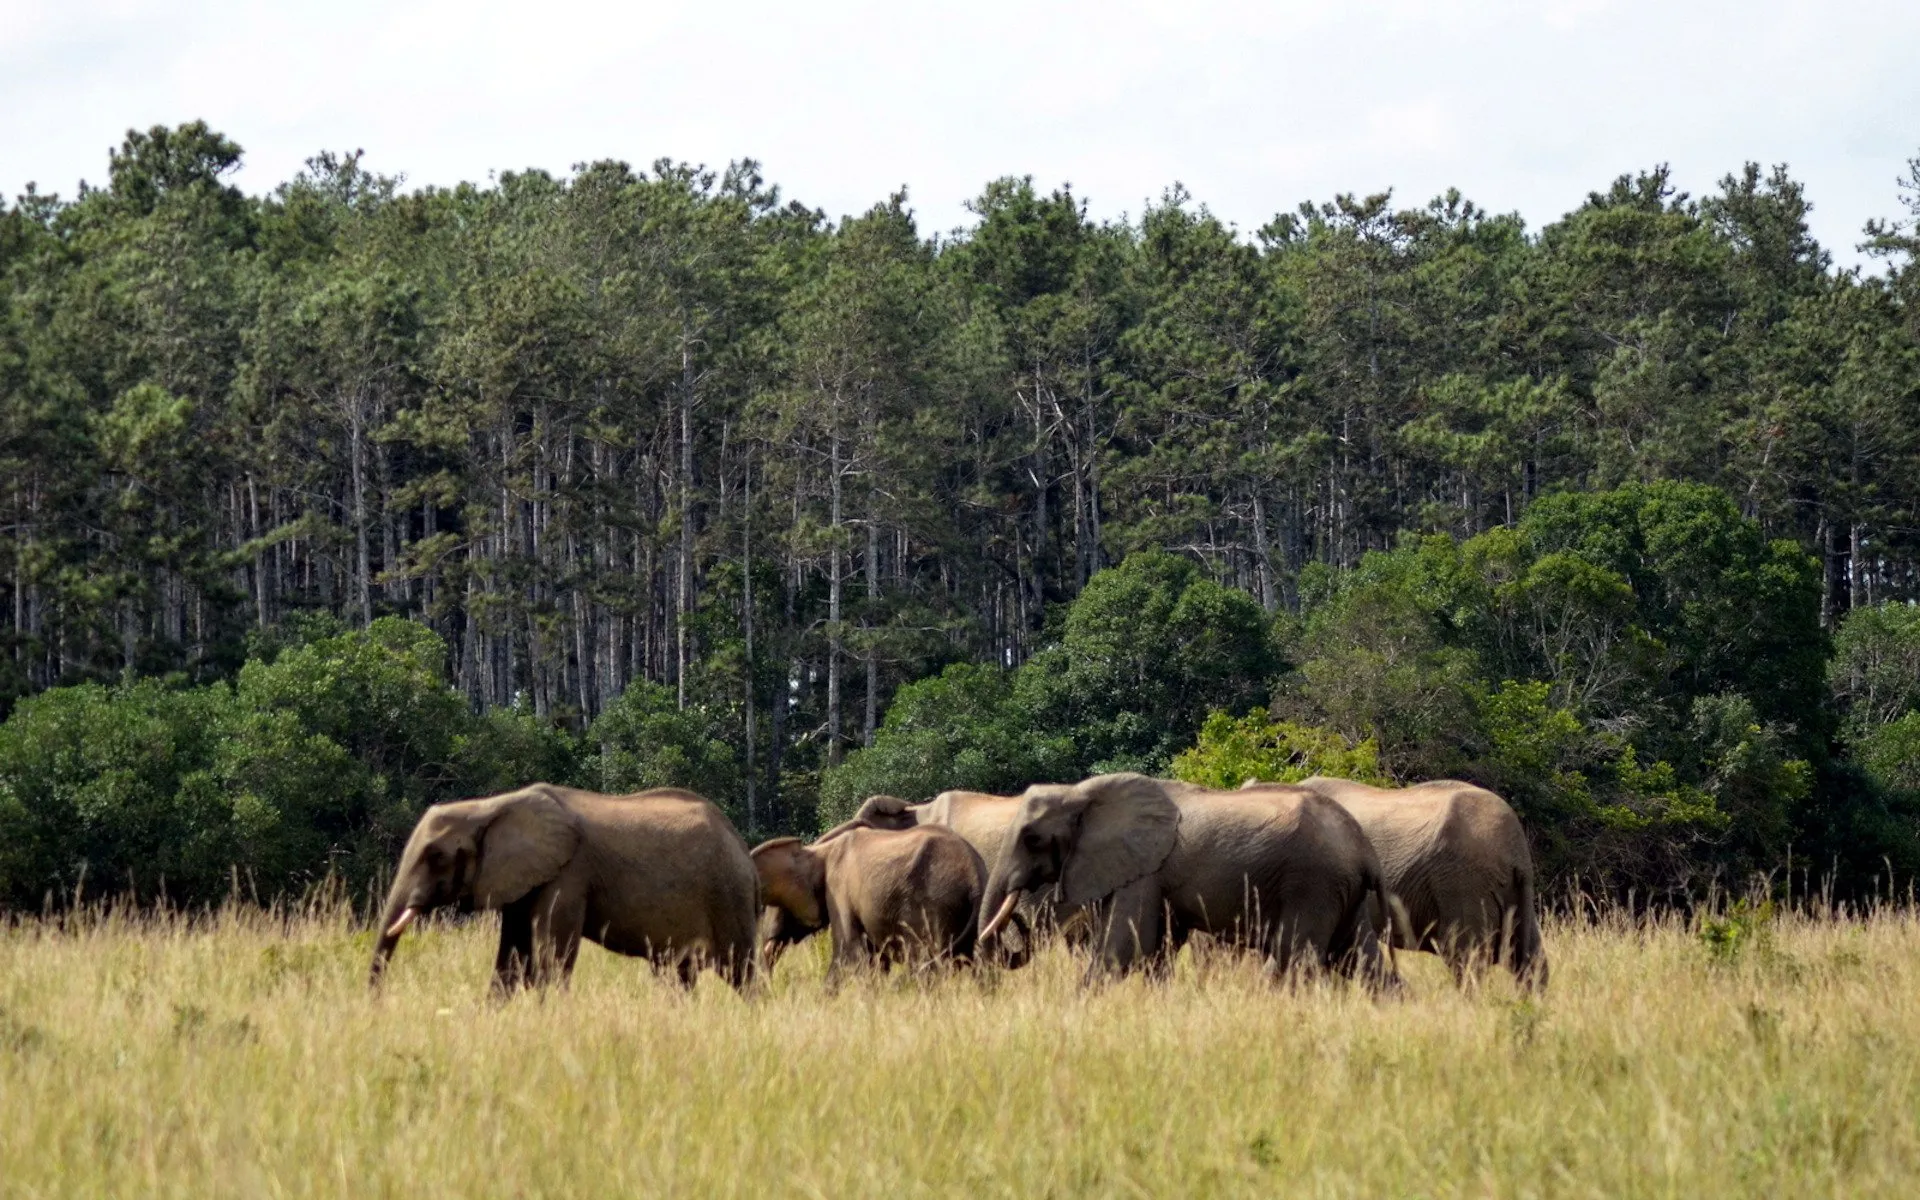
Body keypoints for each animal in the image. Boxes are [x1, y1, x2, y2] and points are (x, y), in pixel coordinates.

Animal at [368, 784, 760, 995]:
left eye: (435, 856)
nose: (376, 1005)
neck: (490, 805)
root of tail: (745, 852)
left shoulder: (568, 874)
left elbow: (551, 960)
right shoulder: (523, 881)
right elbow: (511, 961)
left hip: (729, 896)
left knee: (742, 973)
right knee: (679, 975)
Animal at [751, 821, 987, 981]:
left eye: (780, 906)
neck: (818, 849)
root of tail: (975, 874)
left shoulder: (839, 888)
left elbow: (849, 952)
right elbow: (875, 960)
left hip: (934, 904)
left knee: (926, 960)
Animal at [978, 773, 1400, 988]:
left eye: (1031, 839)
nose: (1018, 918)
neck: (1079, 793)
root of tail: (1364, 850)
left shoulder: (1146, 871)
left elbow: (1124, 947)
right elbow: (1158, 951)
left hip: (1313, 885)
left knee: (1296, 960)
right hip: (1341, 892)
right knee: (1362, 960)